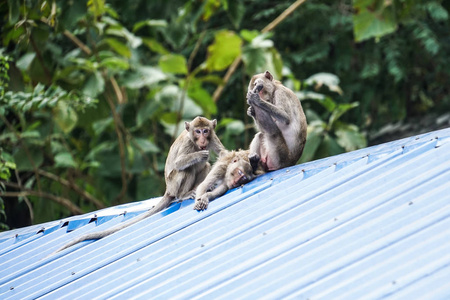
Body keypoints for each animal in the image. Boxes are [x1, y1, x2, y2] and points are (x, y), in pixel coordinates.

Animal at [55, 116, 225, 253]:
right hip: (173, 184)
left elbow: (222, 154)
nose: (202, 139)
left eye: (205, 131)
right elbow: (179, 163)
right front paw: (200, 155)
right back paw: (183, 194)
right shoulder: (188, 143)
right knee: (187, 169)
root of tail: (168, 190)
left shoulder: (212, 137)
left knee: (205, 166)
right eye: (197, 132)